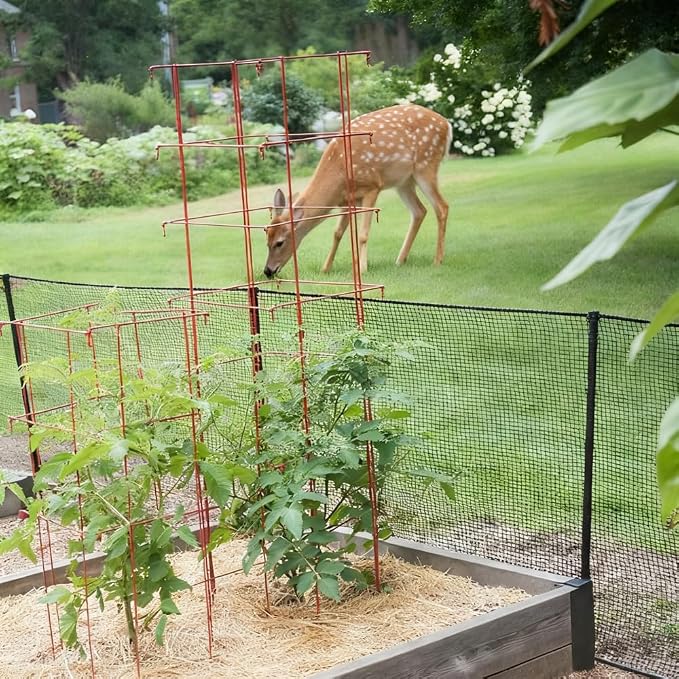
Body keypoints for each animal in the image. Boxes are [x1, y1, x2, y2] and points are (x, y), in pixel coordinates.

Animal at [263, 103, 452, 278]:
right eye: (267, 238)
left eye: (279, 242)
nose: (268, 271)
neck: (339, 171)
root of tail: (447, 124)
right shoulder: (347, 200)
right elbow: (337, 233)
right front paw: (326, 268)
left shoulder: (372, 186)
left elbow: (362, 234)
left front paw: (362, 269)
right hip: (404, 181)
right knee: (419, 211)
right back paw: (400, 260)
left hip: (426, 164)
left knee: (442, 207)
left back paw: (437, 260)